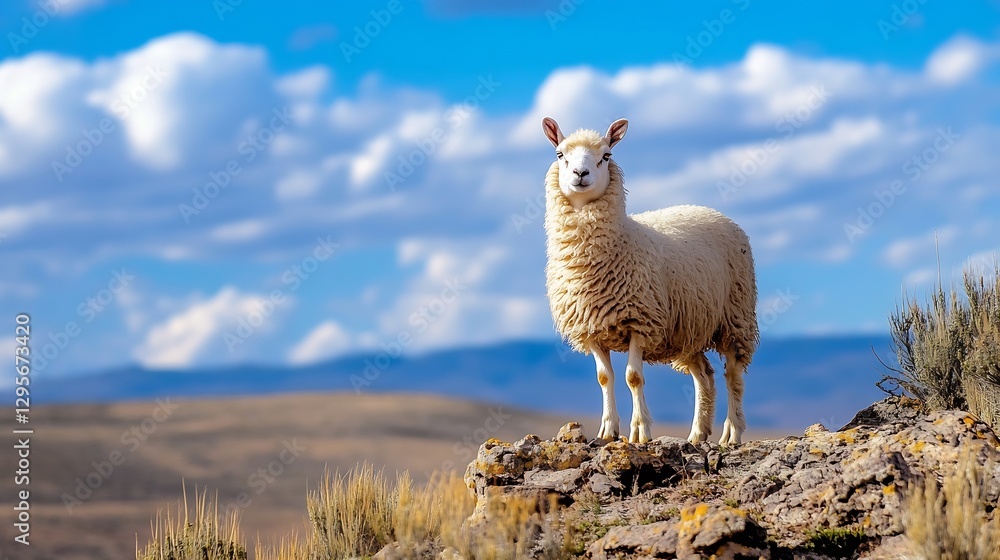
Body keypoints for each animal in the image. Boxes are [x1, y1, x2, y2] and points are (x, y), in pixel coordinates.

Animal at [541, 117, 759, 445]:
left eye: (606, 155)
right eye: (560, 154)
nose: (581, 174)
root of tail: (708, 209)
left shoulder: (639, 322)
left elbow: (633, 377)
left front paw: (640, 431)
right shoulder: (591, 329)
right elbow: (604, 378)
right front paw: (608, 431)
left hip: (735, 316)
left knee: (732, 373)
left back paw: (731, 432)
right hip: (688, 327)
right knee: (704, 375)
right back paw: (697, 434)